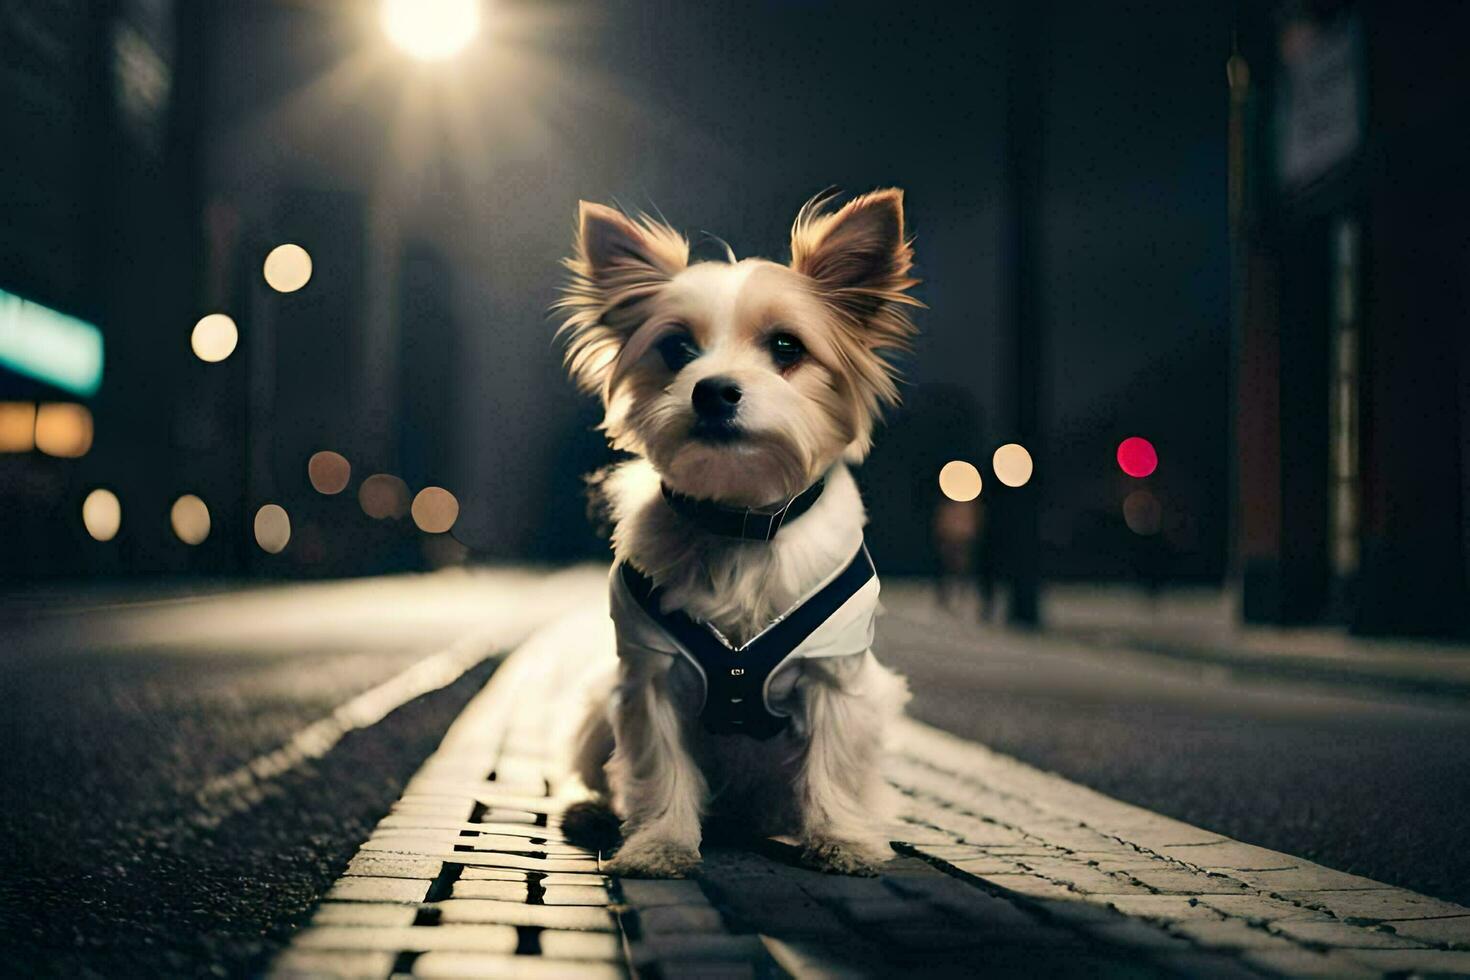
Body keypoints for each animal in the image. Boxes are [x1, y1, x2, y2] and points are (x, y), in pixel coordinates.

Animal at [552, 188, 911, 875]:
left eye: (787, 347)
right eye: (676, 350)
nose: (712, 391)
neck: (742, 523)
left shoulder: (836, 679)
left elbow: (831, 767)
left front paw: (842, 839)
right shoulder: (649, 679)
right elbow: (659, 770)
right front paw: (660, 844)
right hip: (593, 707)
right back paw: (593, 812)